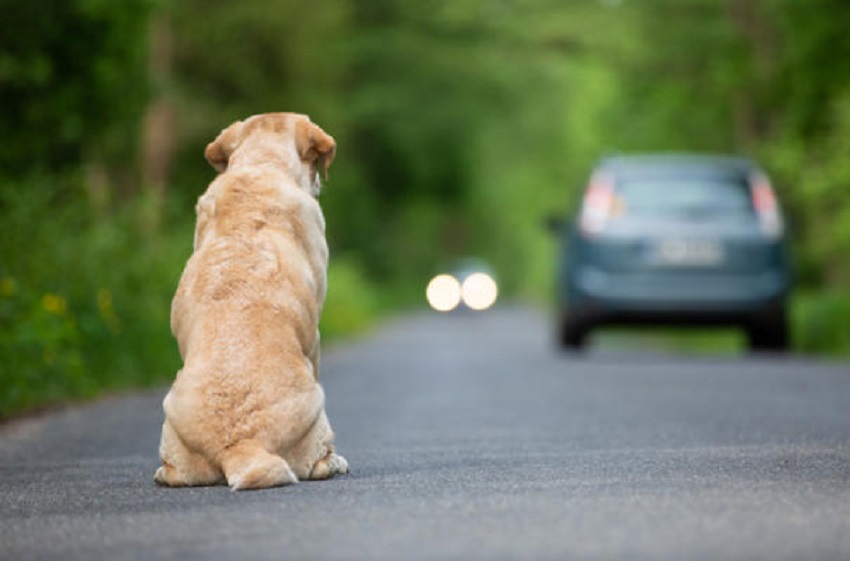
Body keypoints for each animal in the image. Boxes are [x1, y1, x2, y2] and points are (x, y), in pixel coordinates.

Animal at [154, 111, 346, 488]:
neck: (261, 164)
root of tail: (240, 444)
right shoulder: (314, 336)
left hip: (172, 420)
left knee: (174, 473)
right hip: (316, 409)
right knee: (317, 461)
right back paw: (334, 463)